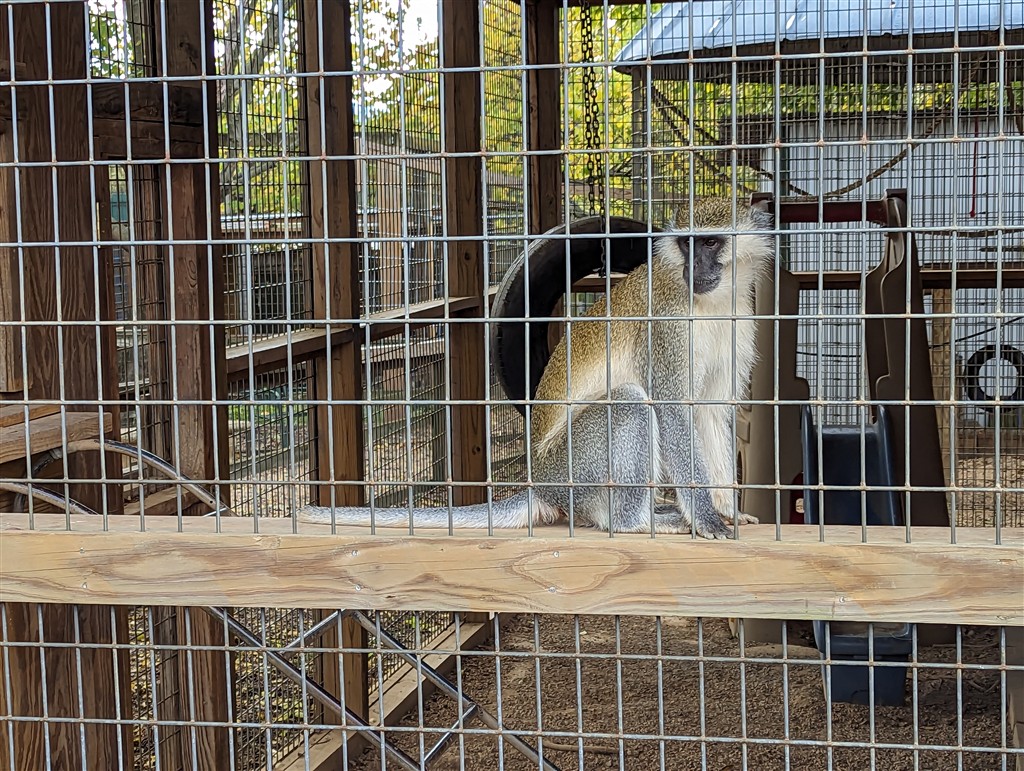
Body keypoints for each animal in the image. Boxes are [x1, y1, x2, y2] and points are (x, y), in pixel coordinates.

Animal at [298, 196, 775, 538]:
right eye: (687, 244)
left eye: (710, 243)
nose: (695, 267)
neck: (709, 302)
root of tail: (540, 484)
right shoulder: (667, 326)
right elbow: (674, 410)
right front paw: (707, 518)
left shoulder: (739, 319)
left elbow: (710, 410)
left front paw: (727, 510)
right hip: (573, 468)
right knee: (629, 404)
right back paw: (635, 521)